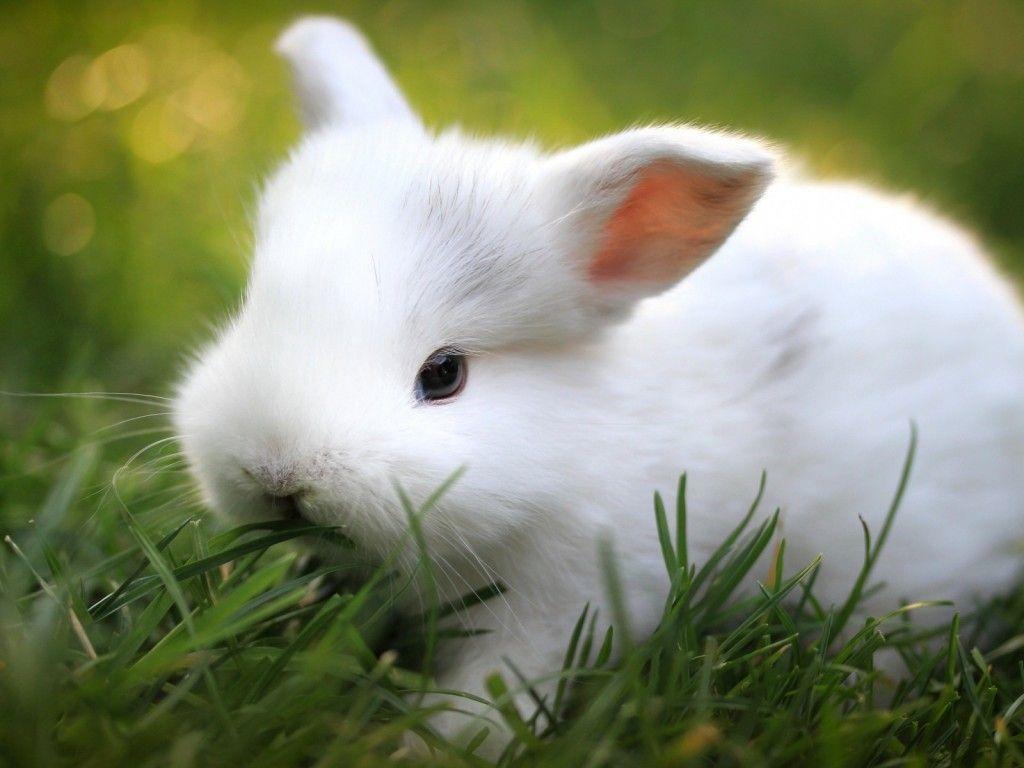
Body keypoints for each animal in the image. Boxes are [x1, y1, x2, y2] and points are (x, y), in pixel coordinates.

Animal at [173, 15, 1024, 752]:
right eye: (252, 308)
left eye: (444, 374)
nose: (276, 473)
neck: (572, 440)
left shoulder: (563, 601)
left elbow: (500, 689)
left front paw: (433, 746)